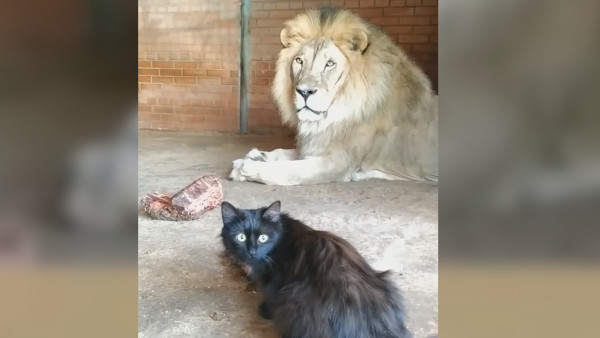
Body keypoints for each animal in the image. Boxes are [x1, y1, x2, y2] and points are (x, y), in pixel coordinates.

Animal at [220, 201, 412, 338]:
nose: (251, 252)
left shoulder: (275, 279)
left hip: (295, 300)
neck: (282, 236)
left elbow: (271, 295)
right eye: (241, 237)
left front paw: (266, 310)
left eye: (263, 238)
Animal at [229, 5, 436, 185]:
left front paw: (246, 167)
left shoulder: (338, 163)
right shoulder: (316, 145)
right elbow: (282, 152)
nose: (304, 91)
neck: (332, 115)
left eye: (329, 63)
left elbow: (287, 170)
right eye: (299, 61)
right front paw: (255, 156)